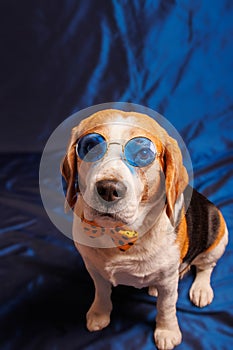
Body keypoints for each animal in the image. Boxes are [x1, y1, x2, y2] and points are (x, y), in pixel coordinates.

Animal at [60, 109, 228, 350]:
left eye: (143, 153)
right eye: (90, 146)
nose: (108, 189)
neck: (120, 235)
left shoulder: (168, 282)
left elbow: (166, 307)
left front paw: (167, 331)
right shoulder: (93, 268)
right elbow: (102, 292)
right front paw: (100, 314)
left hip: (218, 234)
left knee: (206, 267)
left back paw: (201, 289)